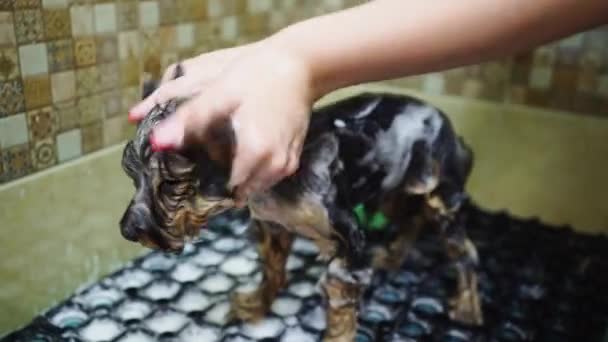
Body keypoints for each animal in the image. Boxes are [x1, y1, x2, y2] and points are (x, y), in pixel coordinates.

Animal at [121, 66, 482, 340]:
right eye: (132, 177)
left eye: (171, 185)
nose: (127, 230)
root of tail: (454, 132)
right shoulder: (272, 225)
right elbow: (272, 270)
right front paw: (256, 305)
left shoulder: (348, 240)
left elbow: (340, 303)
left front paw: (337, 336)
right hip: (397, 188)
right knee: (411, 219)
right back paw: (393, 257)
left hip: (441, 192)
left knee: (463, 249)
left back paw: (467, 307)